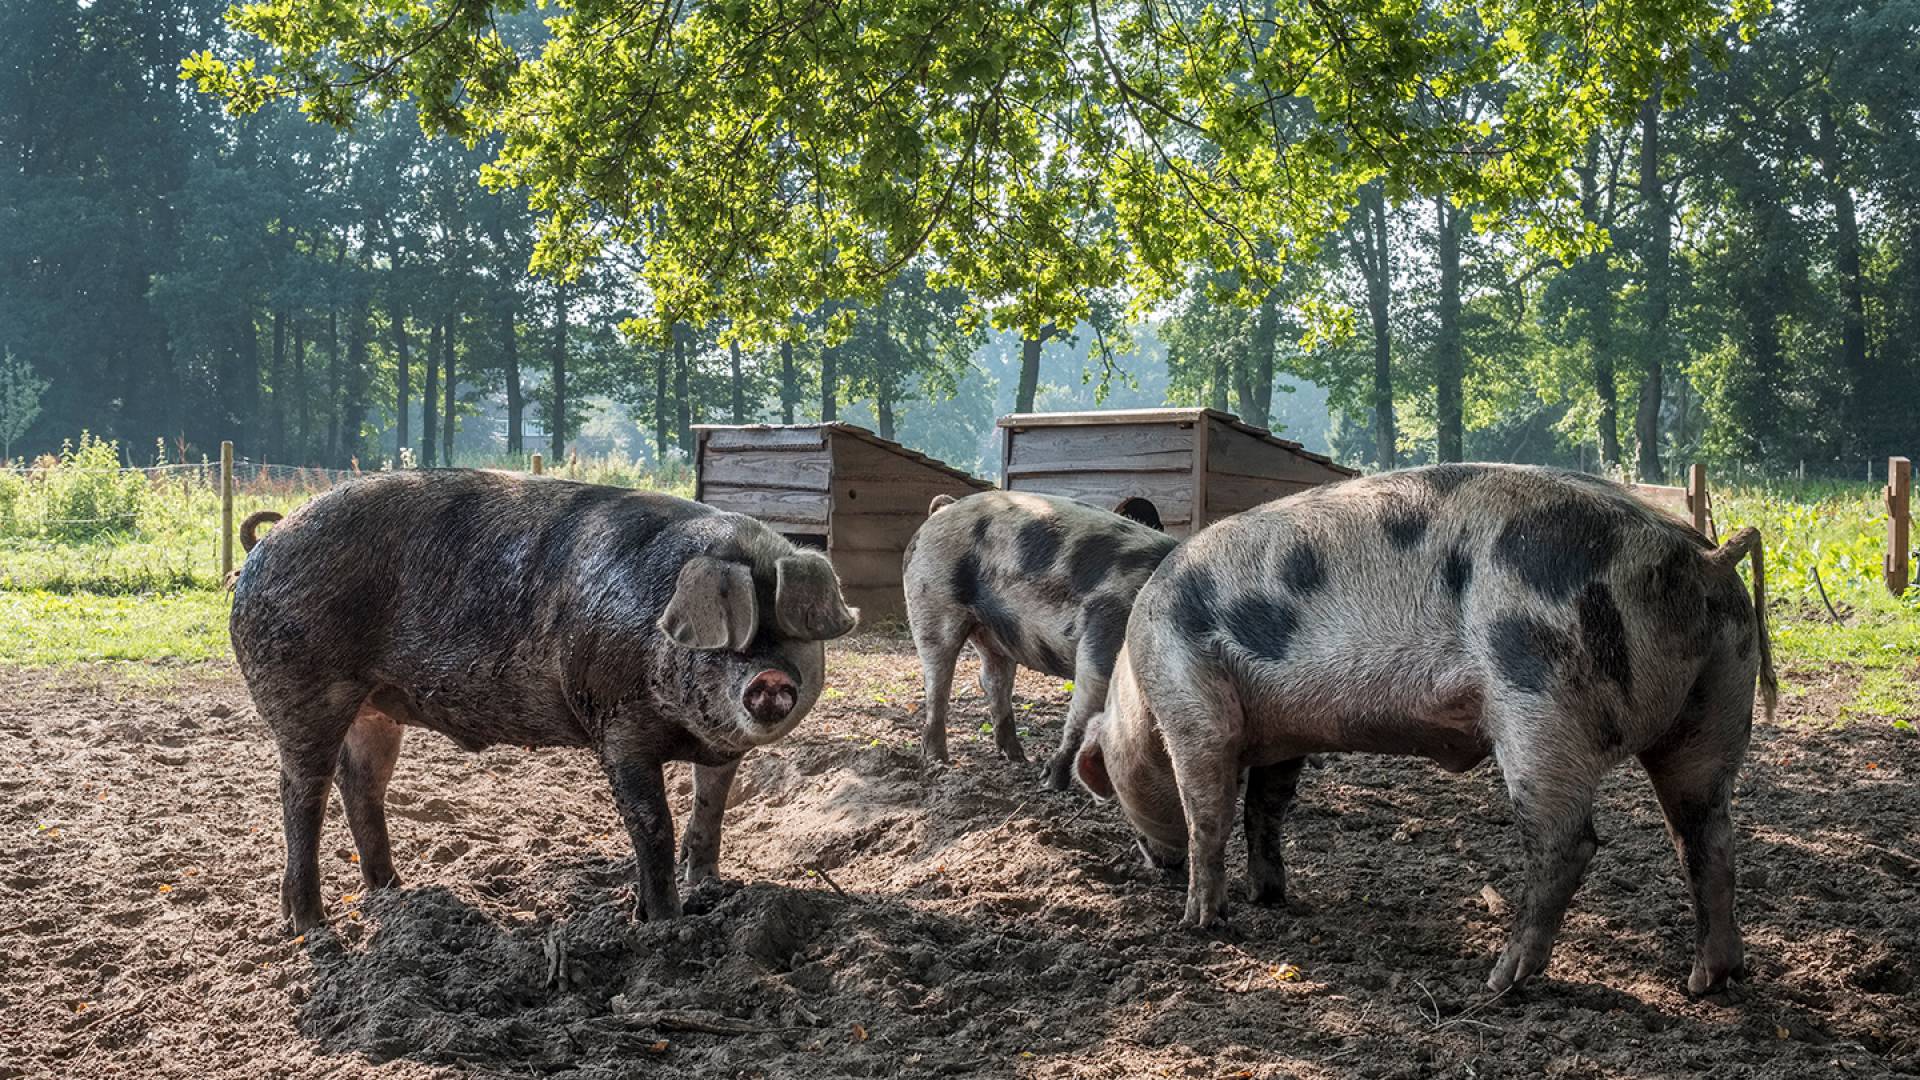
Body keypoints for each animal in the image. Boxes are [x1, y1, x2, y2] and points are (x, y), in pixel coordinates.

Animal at [226, 466, 856, 930]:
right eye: (729, 638)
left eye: (794, 636)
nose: (770, 678)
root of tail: (265, 546)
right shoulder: (615, 723)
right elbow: (650, 822)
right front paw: (663, 922)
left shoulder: (722, 750)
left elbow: (711, 809)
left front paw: (709, 888)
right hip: (301, 688)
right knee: (301, 792)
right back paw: (312, 924)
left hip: (375, 708)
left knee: (360, 784)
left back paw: (394, 891)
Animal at [902, 491, 1182, 787]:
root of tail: (943, 509)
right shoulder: (1104, 633)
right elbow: (1084, 709)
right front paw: (1051, 782)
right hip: (930, 602)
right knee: (937, 682)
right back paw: (940, 760)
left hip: (993, 633)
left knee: (993, 680)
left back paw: (1017, 758)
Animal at [1075, 463, 1774, 991]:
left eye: (1113, 780)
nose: (1152, 864)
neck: (1138, 690)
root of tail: (1704, 558)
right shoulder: (1281, 734)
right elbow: (1265, 810)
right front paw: (1267, 897)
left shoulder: (1195, 709)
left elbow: (1209, 814)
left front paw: (1201, 921)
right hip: (1714, 707)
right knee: (1706, 835)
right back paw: (1710, 981)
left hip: (1541, 699)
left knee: (1569, 843)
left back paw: (1503, 981)